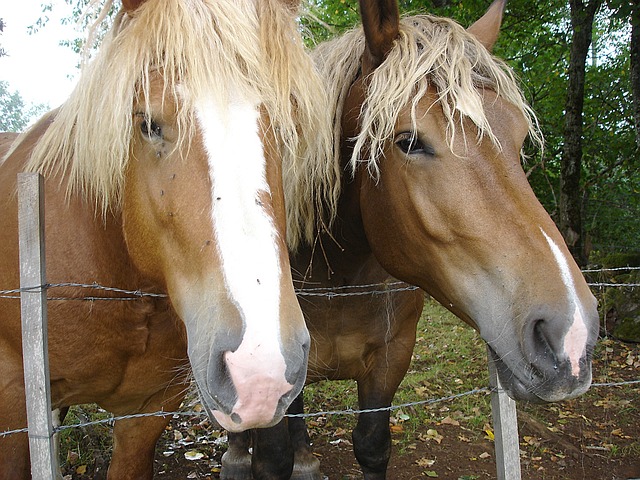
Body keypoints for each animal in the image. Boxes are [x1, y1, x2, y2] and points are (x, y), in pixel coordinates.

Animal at [221, 0, 600, 480]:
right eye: (409, 141)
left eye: (516, 139)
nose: (571, 334)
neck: (337, 278)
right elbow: (270, 459)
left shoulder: (392, 357)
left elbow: (372, 445)